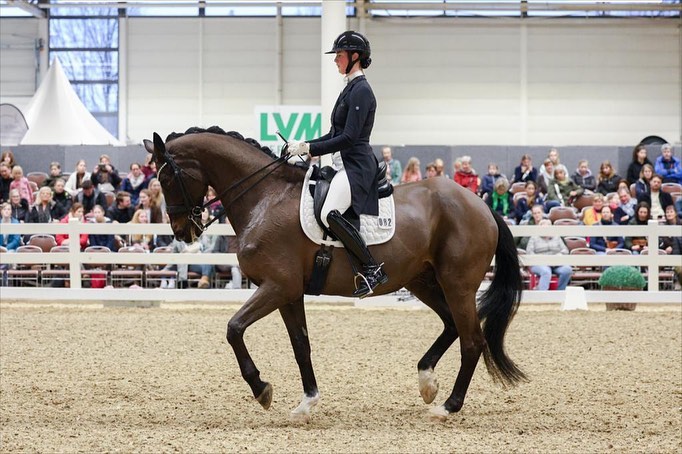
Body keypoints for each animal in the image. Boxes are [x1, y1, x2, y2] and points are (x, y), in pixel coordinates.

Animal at [143, 127, 524, 422]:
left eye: (167, 177)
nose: (182, 232)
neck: (266, 197)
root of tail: (481, 205)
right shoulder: (289, 292)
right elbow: (301, 345)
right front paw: (306, 402)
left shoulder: (276, 286)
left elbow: (234, 329)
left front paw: (261, 389)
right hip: (423, 281)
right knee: (450, 326)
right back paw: (427, 382)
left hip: (457, 284)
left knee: (472, 340)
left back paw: (448, 406)